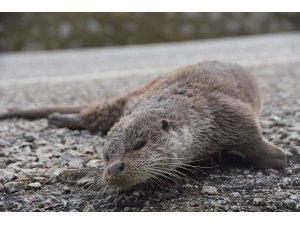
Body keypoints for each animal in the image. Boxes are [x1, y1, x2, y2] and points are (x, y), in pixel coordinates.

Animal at [0, 60, 288, 189]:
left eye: (139, 145)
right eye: (106, 156)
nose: (114, 169)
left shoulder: (224, 112)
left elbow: (252, 136)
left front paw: (278, 157)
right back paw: (57, 118)